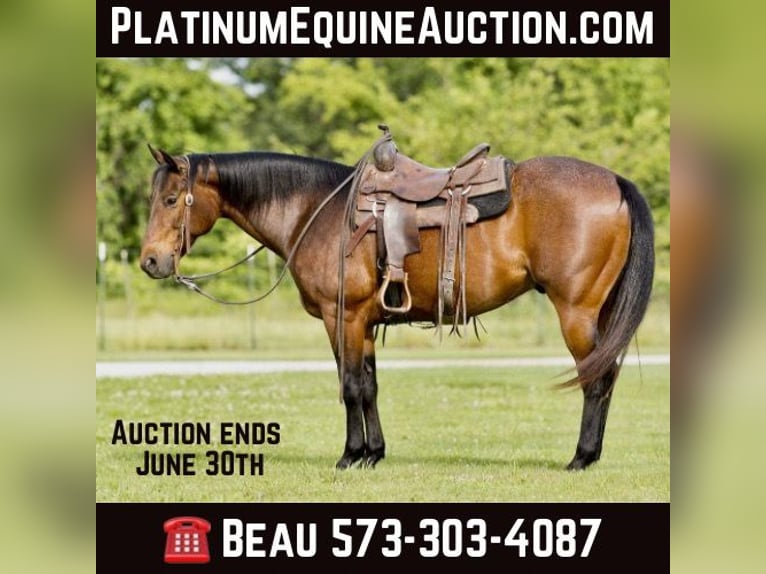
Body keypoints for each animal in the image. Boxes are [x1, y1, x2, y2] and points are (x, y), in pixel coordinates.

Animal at [139, 141, 654, 471]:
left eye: (172, 199)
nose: (151, 261)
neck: (315, 213)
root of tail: (614, 181)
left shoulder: (342, 317)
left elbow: (349, 386)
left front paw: (350, 455)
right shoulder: (364, 322)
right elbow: (369, 386)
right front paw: (373, 453)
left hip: (576, 312)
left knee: (596, 379)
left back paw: (582, 458)